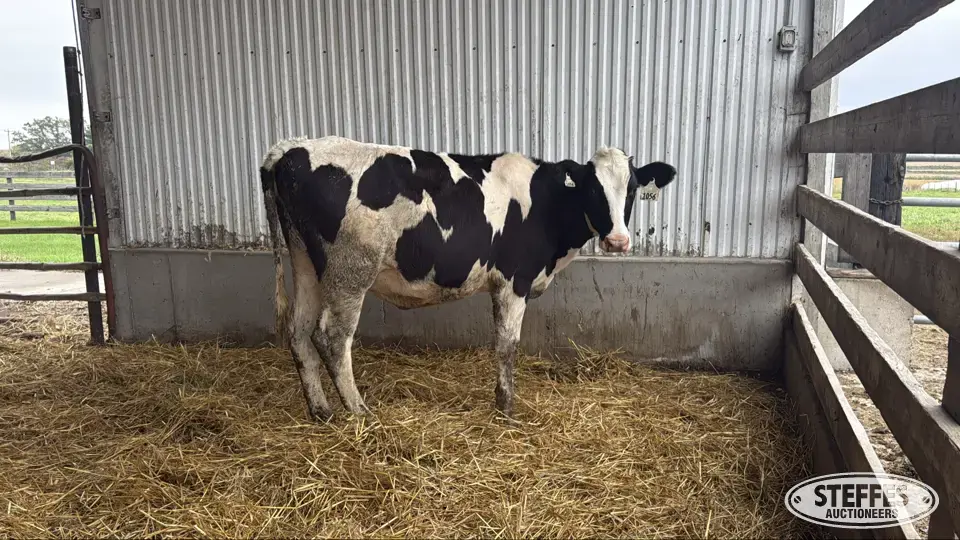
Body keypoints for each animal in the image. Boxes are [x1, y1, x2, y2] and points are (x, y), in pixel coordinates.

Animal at [259, 136, 677, 422]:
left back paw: (321, 411)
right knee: (331, 337)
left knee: (298, 332)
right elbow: (507, 346)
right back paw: (360, 412)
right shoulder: (514, 280)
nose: (618, 240)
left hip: (306, 262)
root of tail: (292, 148)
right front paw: (506, 408)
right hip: (350, 269)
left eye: (632, 189)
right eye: (593, 188)